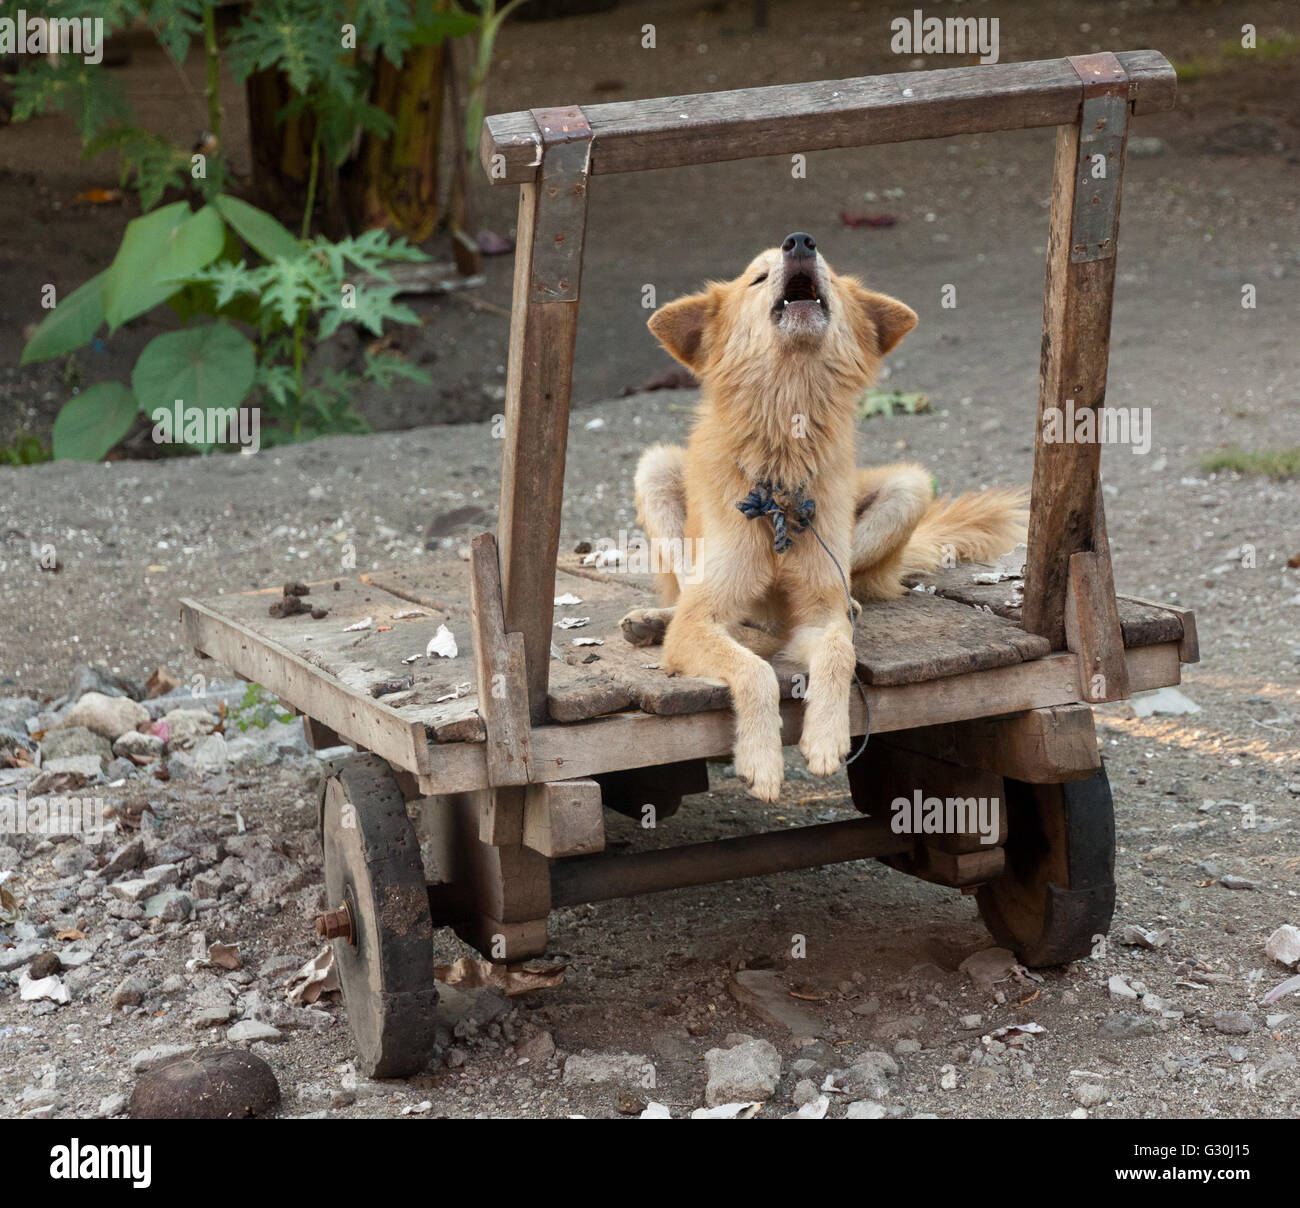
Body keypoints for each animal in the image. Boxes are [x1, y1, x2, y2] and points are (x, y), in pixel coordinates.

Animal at [624, 235, 1029, 800]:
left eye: (831, 275)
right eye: (757, 277)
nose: (800, 241)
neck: (782, 463)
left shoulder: (821, 614)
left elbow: (839, 654)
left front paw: (826, 737)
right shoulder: (700, 623)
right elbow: (752, 669)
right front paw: (761, 759)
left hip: (908, 488)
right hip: (656, 468)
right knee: (686, 594)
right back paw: (652, 621)